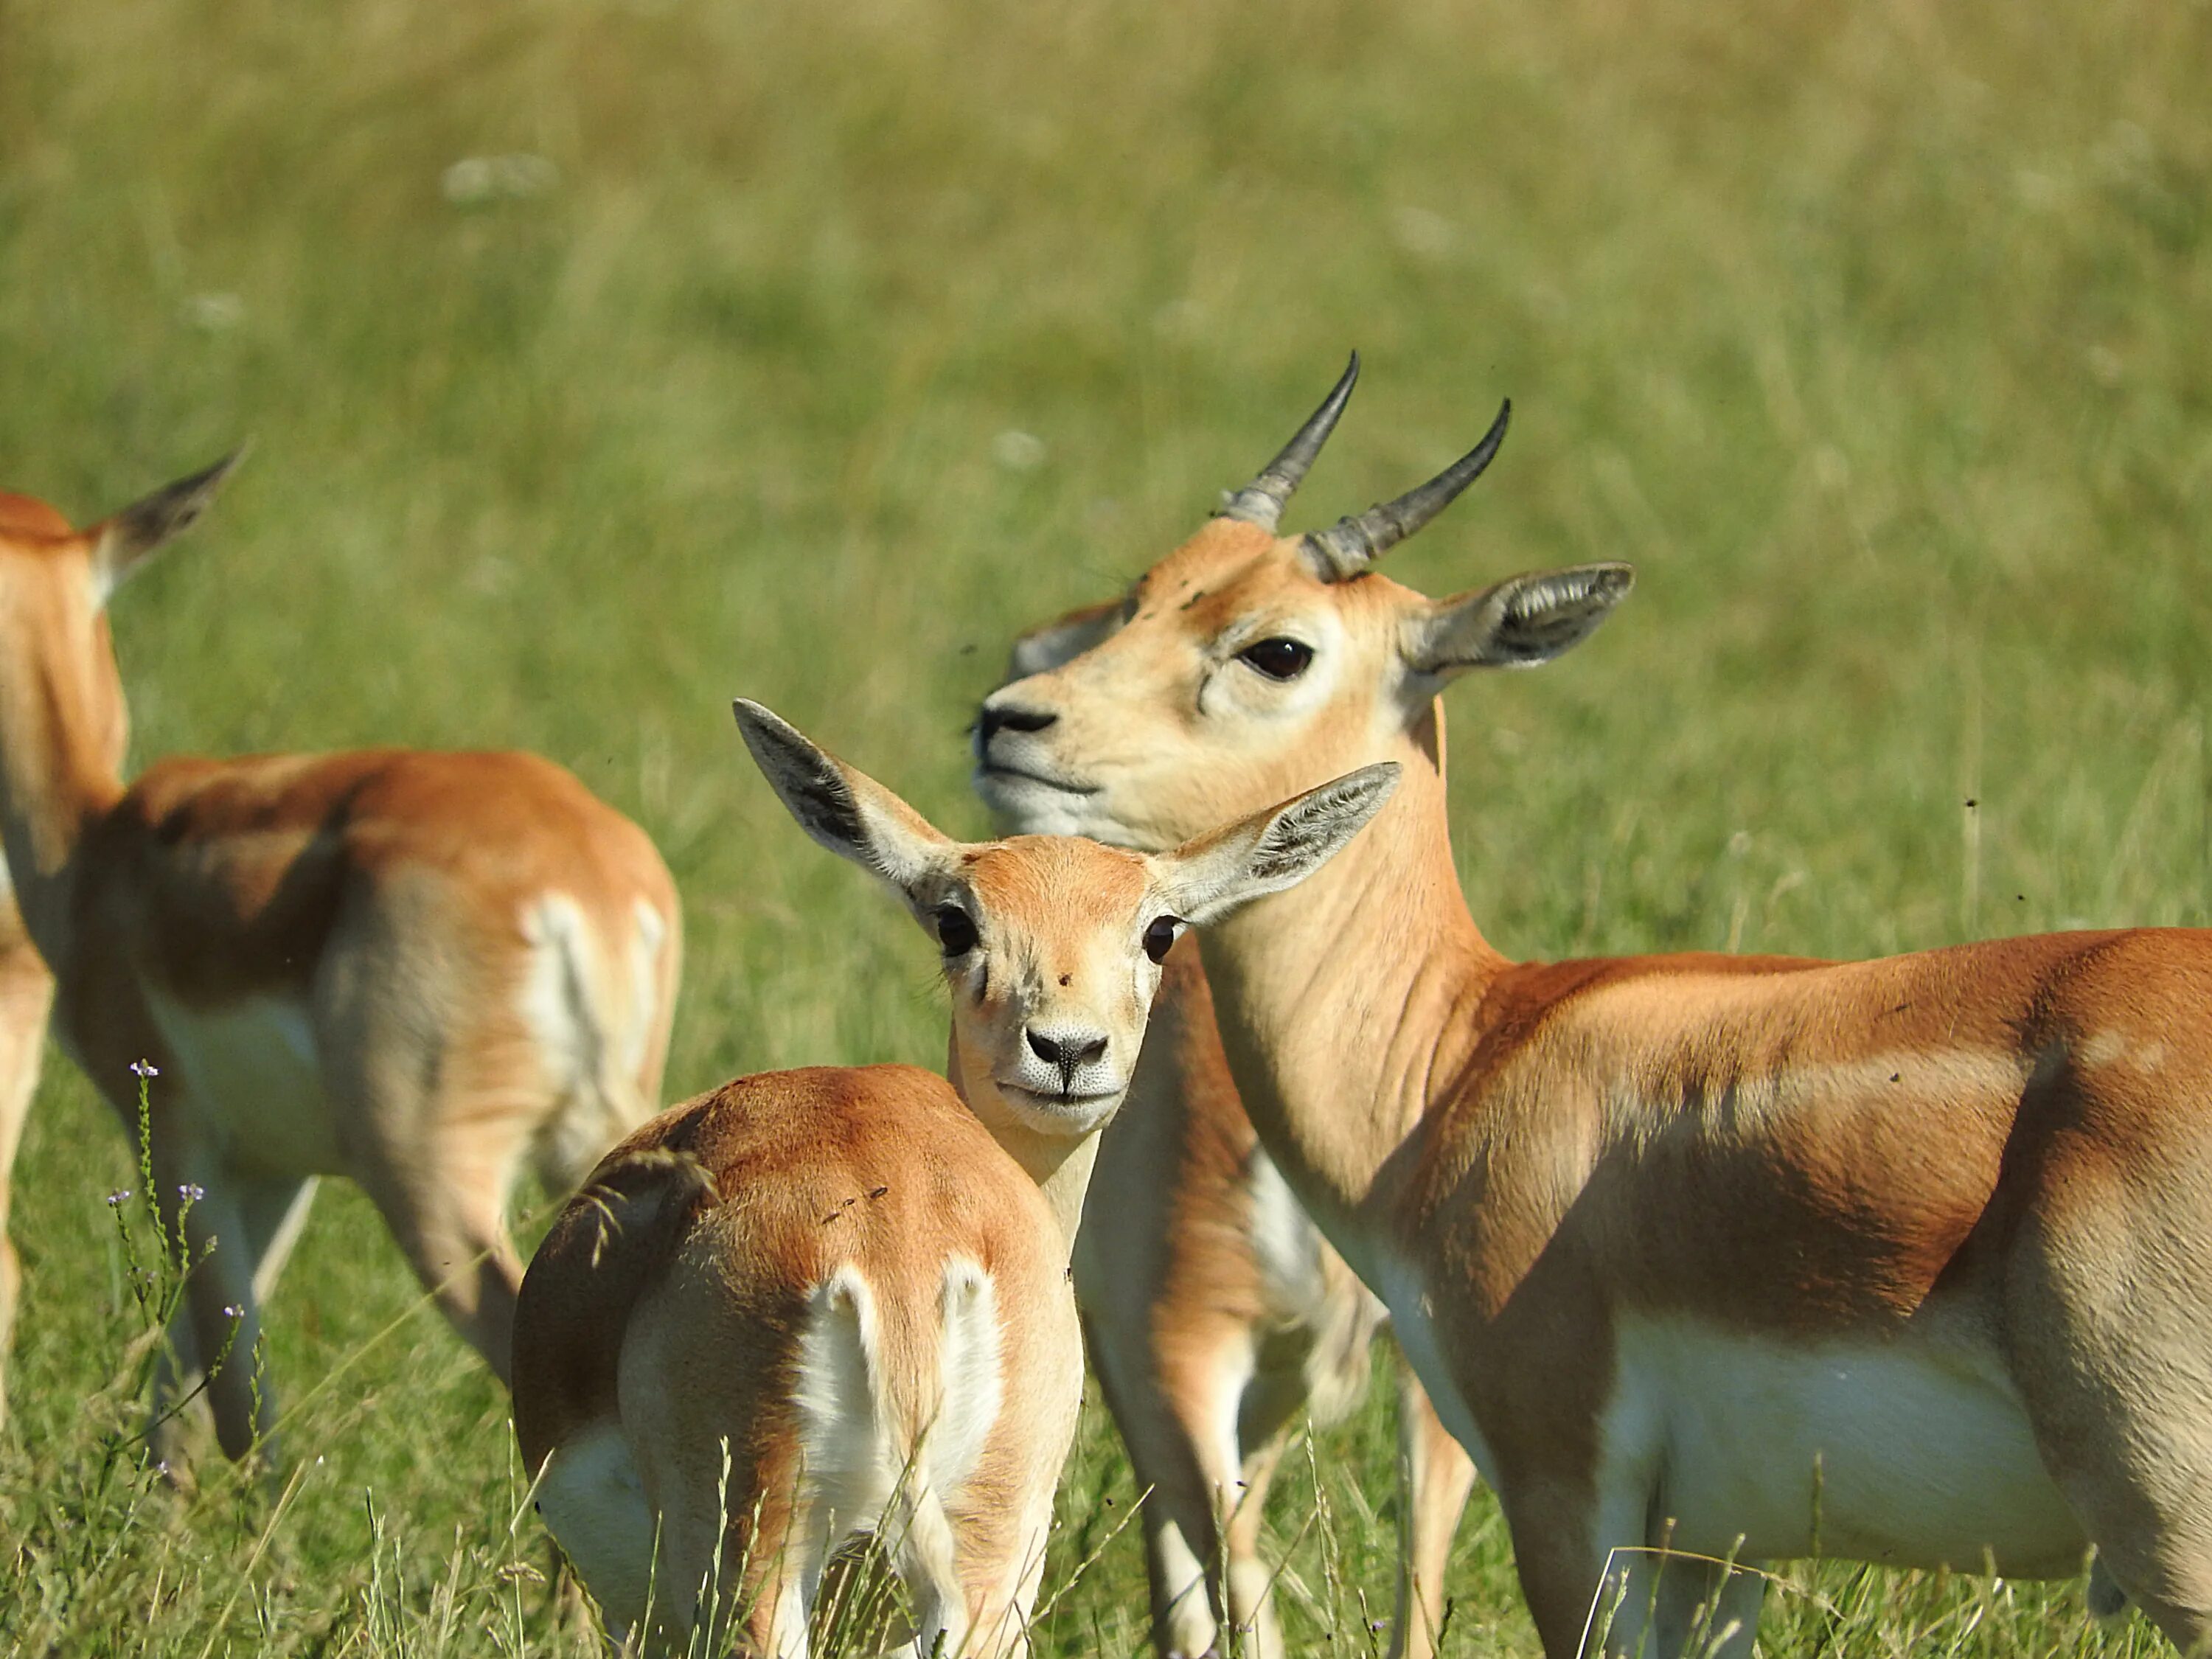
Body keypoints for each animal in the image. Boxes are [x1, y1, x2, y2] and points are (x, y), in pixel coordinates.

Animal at [0, 456, 681, 1469]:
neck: (95, 847)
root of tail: (584, 880)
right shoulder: (273, 1170)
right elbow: (194, 1378)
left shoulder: (176, 1135)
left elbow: (236, 1396)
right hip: (608, 1142)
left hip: (429, 1183)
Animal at [509, 703, 1389, 1659]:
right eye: (957, 922)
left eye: (1160, 931)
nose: (1068, 1050)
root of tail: (892, 1257)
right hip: (987, 1554)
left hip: (756, 1560)